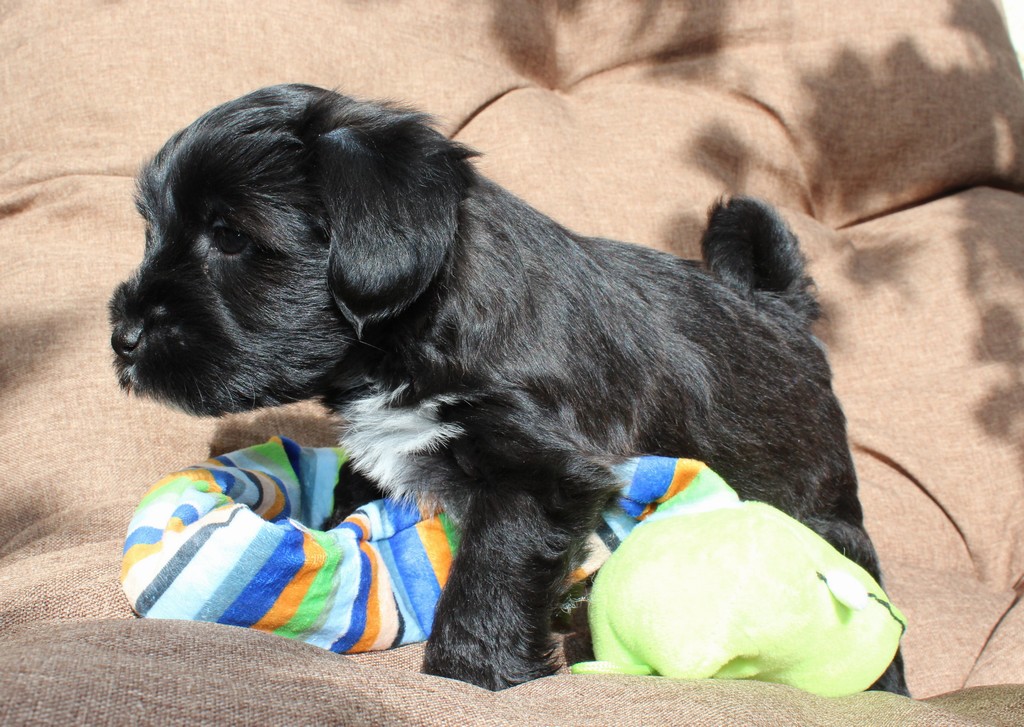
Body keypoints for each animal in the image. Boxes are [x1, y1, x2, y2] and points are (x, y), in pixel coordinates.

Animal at [110, 84, 907, 694]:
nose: (122, 336)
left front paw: (474, 669)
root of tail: (778, 309)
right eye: (152, 231)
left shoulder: (540, 471)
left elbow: (491, 570)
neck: (420, 328)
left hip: (823, 509)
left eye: (230, 237)